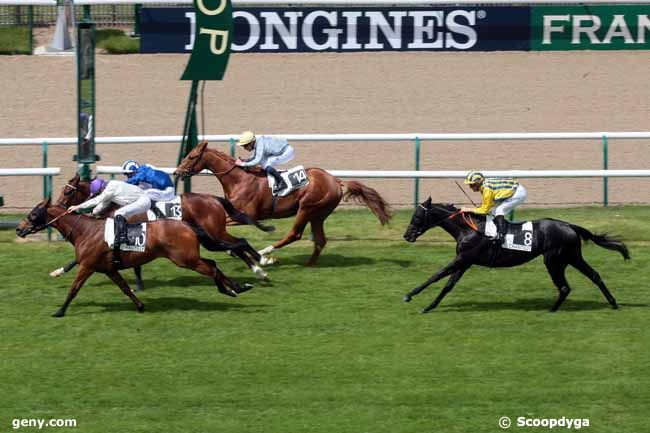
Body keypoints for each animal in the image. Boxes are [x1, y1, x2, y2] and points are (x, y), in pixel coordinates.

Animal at [15, 197, 253, 316]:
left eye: (33, 214)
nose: (18, 229)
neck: (85, 231)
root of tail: (187, 224)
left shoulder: (87, 266)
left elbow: (73, 289)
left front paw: (59, 311)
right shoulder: (109, 269)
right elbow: (125, 288)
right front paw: (140, 306)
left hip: (185, 259)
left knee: (212, 267)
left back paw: (235, 287)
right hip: (189, 258)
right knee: (213, 264)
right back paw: (235, 288)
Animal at [52, 172, 272, 286]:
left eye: (67, 192)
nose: (59, 206)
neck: (115, 206)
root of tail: (214, 198)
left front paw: (139, 285)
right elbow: (77, 259)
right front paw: (57, 271)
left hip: (215, 231)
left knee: (239, 243)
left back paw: (261, 265)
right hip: (215, 232)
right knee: (236, 245)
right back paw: (260, 268)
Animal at [172, 141, 392, 264]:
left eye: (191, 156)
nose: (176, 172)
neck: (238, 179)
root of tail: (336, 180)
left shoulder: (245, 216)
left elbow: (223, 227)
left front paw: (234, 249)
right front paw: (231, 248)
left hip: (307, 208)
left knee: (294, 234)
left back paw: (266, 252)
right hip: (318, 214)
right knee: (320, 240)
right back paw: (309, 264)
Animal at [400, 197, 628, 312]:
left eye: (417, 216)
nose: (407, 235)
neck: (469, 229)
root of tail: (569, 225)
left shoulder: (462, 259)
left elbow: (436, 275)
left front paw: (410, 294)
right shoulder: (465, 262)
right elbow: (448, 285)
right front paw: (429, 306)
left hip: (554, 260)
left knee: (564, 286)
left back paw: (551, 310)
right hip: (571, 258)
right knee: (593, 276)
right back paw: (613, 303)